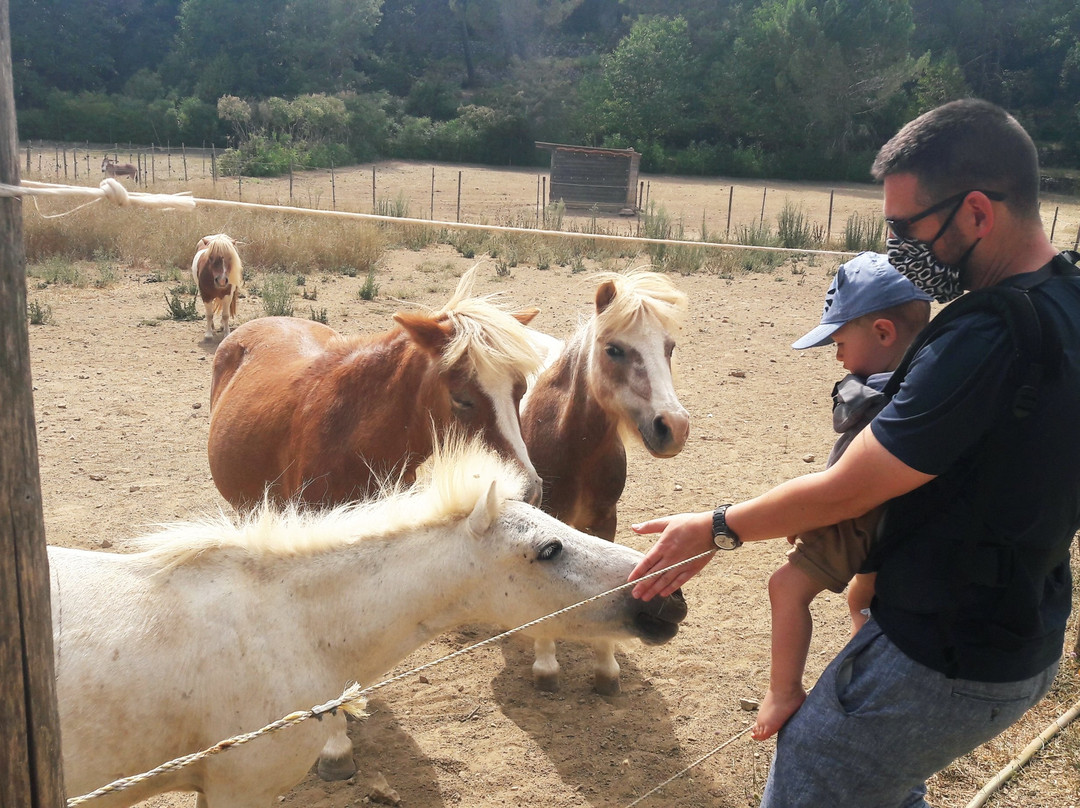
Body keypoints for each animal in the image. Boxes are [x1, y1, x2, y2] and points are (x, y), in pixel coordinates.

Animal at [522, 270, 691, 695]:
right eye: (614, 349)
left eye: (669, 347)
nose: (674, 427)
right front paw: (546, 666)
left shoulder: (604, 520)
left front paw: (606, 668)